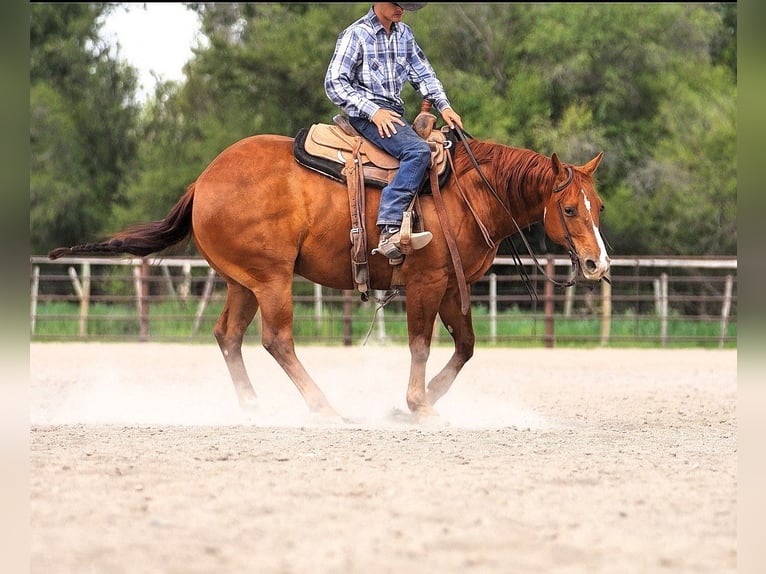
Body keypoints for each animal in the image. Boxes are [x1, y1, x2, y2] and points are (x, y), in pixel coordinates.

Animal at [49, 123, 609, 421]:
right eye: (569, 209)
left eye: (598, 205)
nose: (597, 263)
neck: (464, 191)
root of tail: (203, 181)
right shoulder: (426, 282)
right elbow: (421, 344)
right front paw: (417, 404)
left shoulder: (454, 285)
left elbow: (466, 347)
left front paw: (419, 402)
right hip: (271, 278)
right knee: (276, 340)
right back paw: (325, 409)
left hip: (242, 281)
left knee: (228, 335)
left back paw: (254, 409)